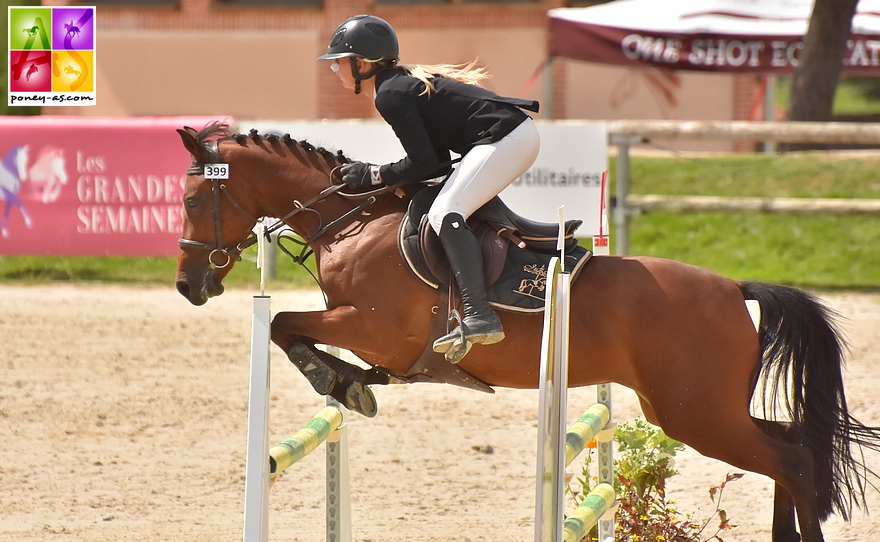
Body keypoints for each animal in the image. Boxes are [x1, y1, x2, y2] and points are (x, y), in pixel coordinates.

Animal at [174, 123, 880, 542]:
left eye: (191, 201)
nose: (188, 285)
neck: (352, 224)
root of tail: (735, 289)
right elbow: (295, 331)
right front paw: (353, 385)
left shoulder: (373, 328)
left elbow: (284, 325)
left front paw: (340, 381)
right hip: (693, 410)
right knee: (791, 447)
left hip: (696, 414)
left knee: (793, 459)